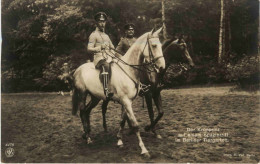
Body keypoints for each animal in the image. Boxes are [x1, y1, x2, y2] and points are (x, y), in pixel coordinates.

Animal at [71, 27, 165, 158]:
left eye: (161, 45)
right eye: (154, 45)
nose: (162, 67)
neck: (128, 70)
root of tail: (77, 70)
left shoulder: (127, 101)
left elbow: (122, 120)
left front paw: (119, 140)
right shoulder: (126, 101)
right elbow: (135, 125)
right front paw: (144, 149)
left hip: (95, 97)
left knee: (87, 111)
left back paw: (87, 133)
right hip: (82, 94)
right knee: (82, 112)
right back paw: (88, 137)